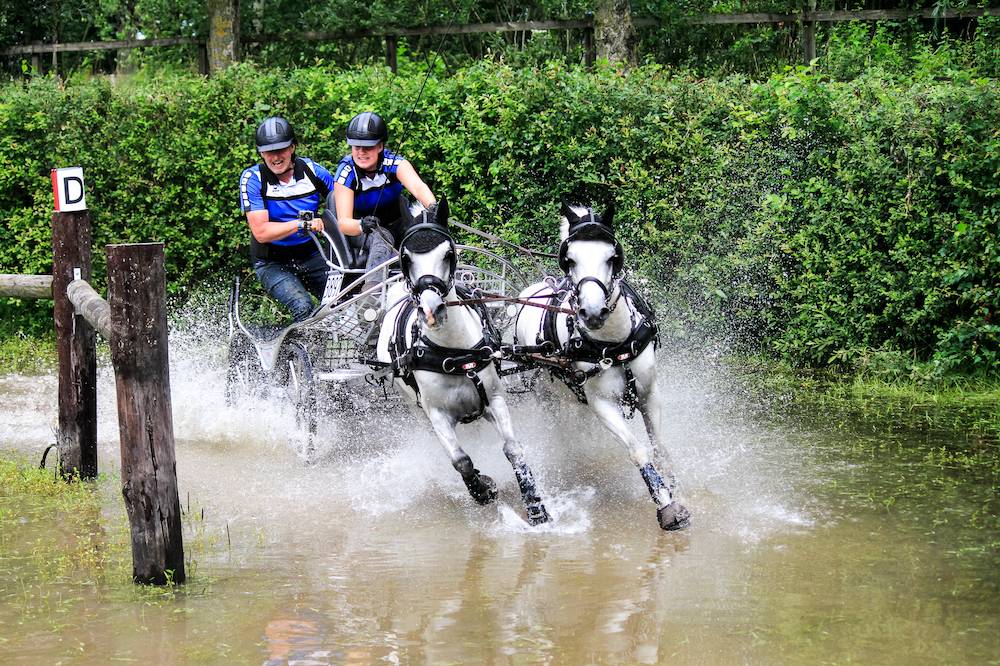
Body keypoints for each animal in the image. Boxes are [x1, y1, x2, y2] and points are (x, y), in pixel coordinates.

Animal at [373, 199, 550, 526]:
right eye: (406, 257)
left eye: (448, 253)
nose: (432, 311)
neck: (453, 352)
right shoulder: (437, 414)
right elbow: (461, 460)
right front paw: (483, 489)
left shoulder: (494, 398)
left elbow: (513, 449)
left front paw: (535, 505)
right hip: (414, 406)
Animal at [511, 202, 691, 531]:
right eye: (570, 259)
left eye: (612, 256)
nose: (593, 313)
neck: (614, 343)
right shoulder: (603, 404)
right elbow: (637, 450)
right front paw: (666, 506)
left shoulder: (650, 394)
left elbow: (659, 446)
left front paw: (675, 490)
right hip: (548, 398)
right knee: (563, 432)